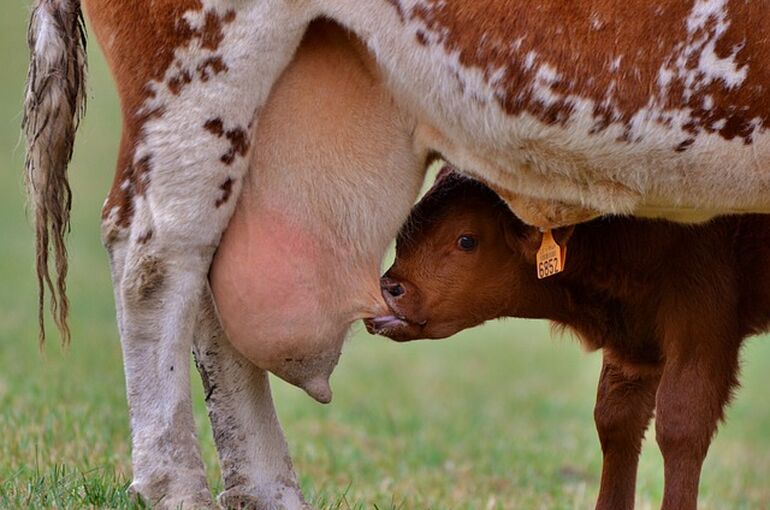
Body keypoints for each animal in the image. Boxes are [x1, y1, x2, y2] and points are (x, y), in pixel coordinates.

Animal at [367, 169, 770, 510]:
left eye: (466, 239)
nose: (388, 289)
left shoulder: (700, 329)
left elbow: (681, 425)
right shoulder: (632, 345)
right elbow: (616, 419)